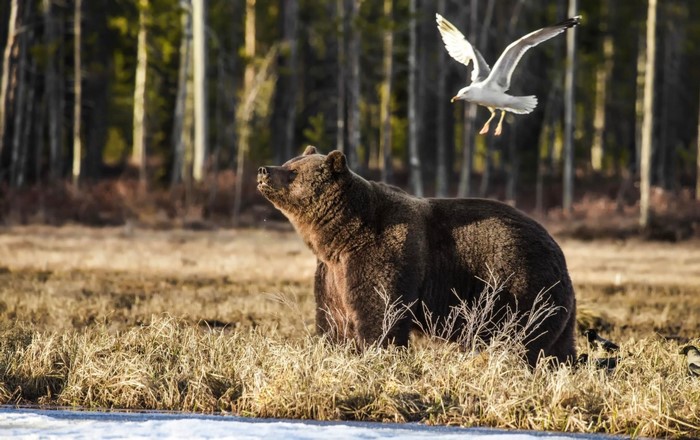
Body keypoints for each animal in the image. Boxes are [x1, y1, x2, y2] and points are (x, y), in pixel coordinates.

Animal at [257, 146, 576, 366]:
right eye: (289, 163)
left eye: (293, 172)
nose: (263, 170)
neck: (341, 236)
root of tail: (558, 251)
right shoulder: (332, 273)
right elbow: (332, 319)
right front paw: (334, 349)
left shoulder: (382, 253)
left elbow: (380, 312)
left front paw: (377, 353)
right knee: (558, 348)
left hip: (516, 284)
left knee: (519, 336)